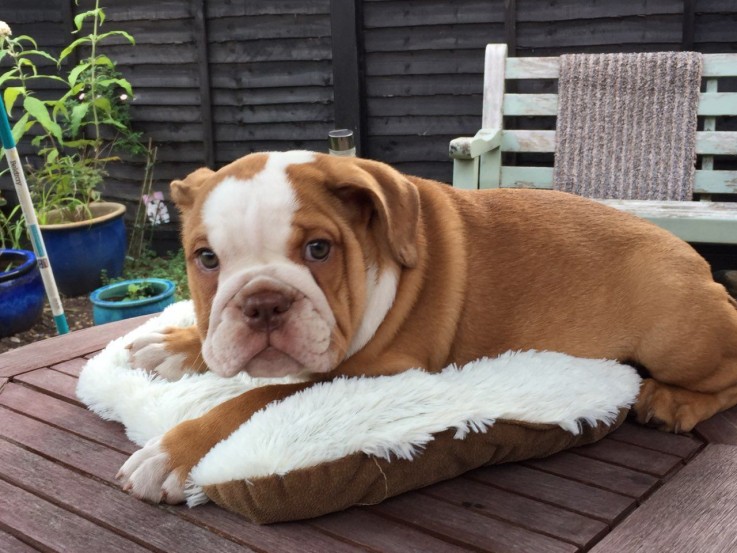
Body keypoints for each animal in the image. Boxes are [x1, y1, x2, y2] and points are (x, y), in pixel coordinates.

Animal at [118, 151, 736, 504]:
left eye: (319, 250)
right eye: (206, 259)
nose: (263, 302)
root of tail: (702, 268)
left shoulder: (371, 371)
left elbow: (255, 399)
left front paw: (171, 453)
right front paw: (171, 346)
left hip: (676, 333)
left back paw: (673, 402)